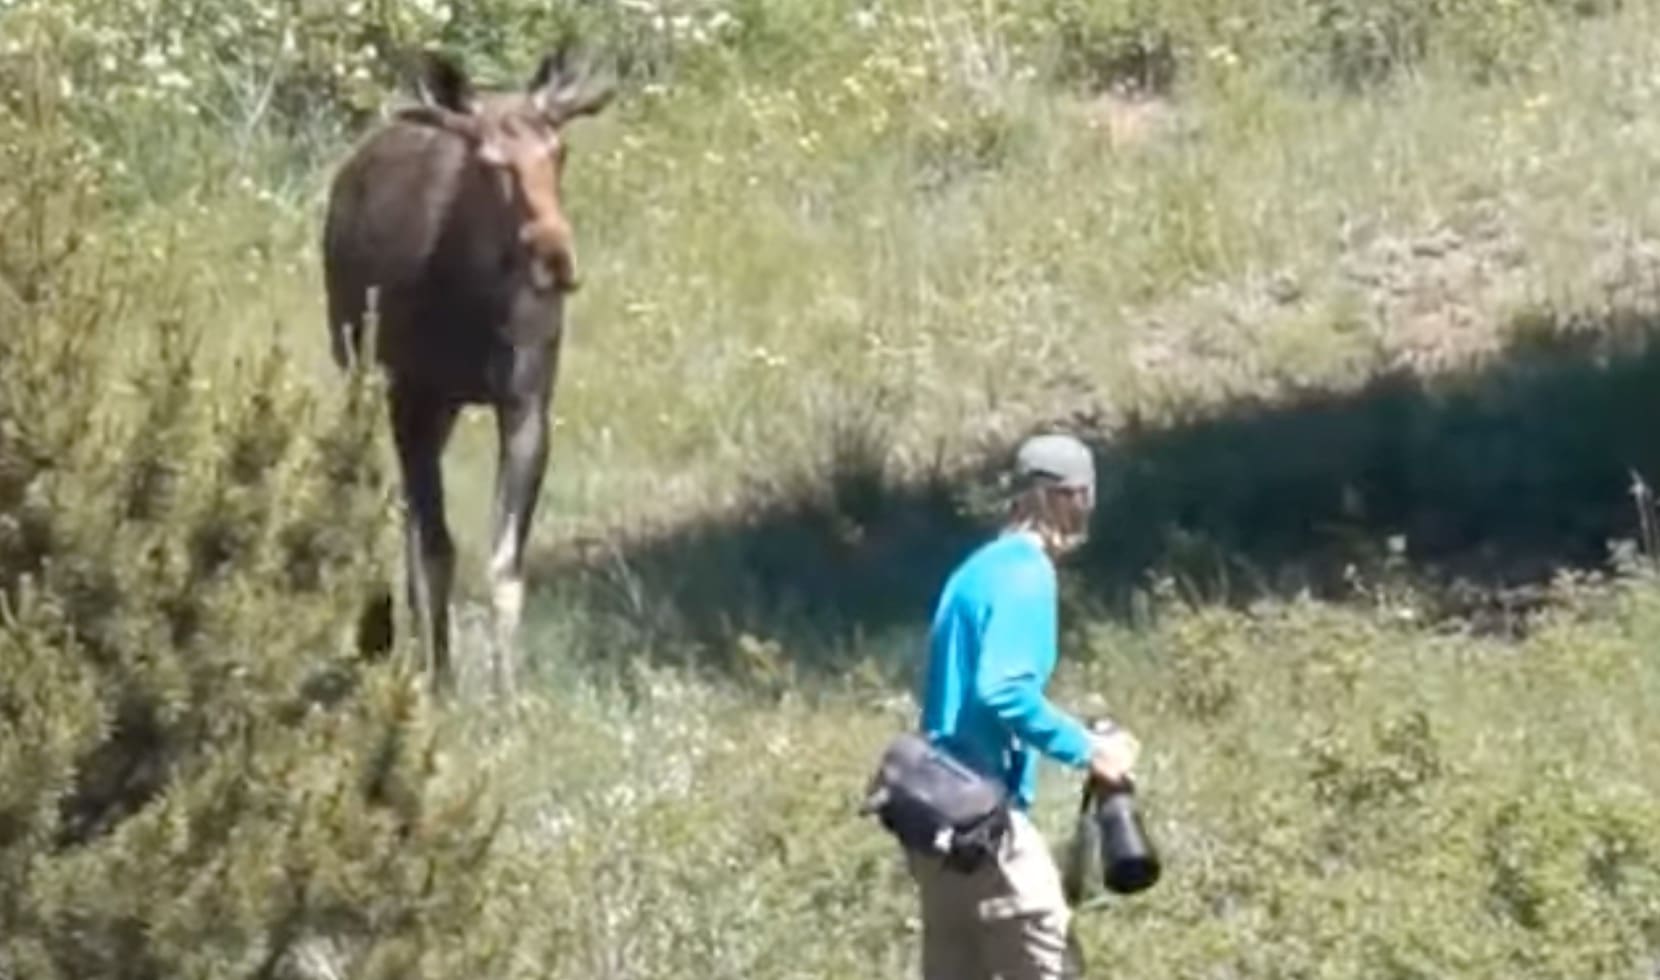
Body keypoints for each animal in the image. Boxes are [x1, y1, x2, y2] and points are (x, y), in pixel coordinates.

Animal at [320, 42, 614, 694]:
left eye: (559, 151)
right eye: (489, 162)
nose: (556, 258)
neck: (474, 308)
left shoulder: (526, 405)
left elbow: (503, 562)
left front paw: (508, 692)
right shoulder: (410, 396)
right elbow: (437, 549)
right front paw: (441, 684)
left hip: (443, 406)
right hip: (360, 373)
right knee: (384, 504)